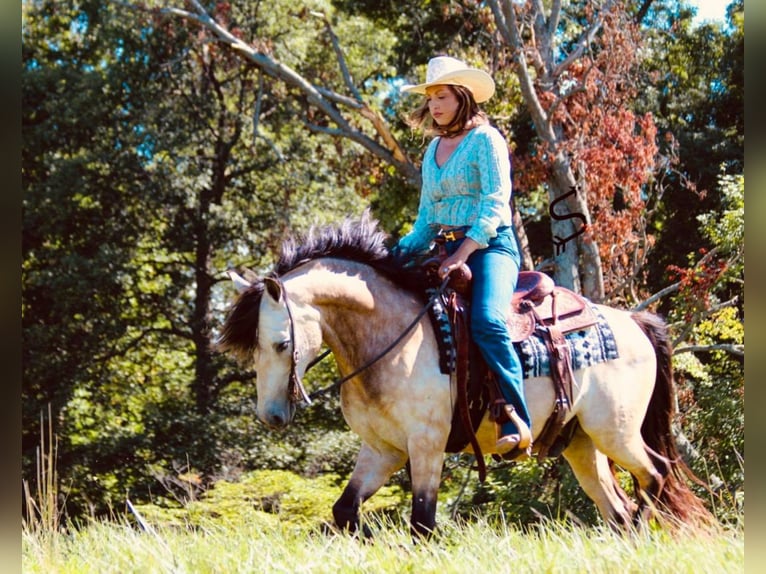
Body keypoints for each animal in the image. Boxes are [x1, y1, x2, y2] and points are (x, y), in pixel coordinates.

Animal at [218, 213, 712, 540]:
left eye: (282, 343)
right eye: (255, 347)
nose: (271, 416)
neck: (390, 337)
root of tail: (634, 322)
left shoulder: (427, 444)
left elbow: (422, 523)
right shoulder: (383, 449)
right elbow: (345, 510)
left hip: (617, 432)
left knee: (655, 477)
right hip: (582, 444)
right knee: (617, 509)